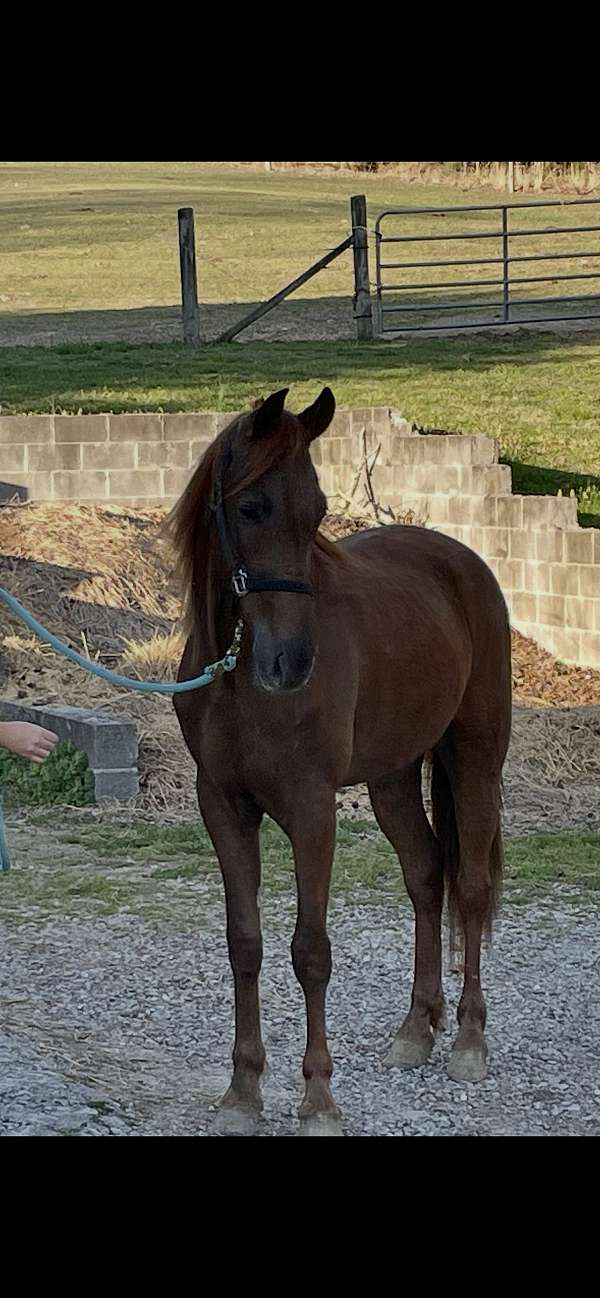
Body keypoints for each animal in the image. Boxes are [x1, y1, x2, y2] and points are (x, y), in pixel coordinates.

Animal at [170, 386, 512, 1135]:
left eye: (319, 509)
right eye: (251, 507)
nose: (292, 662)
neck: (238, 676)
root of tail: (461, 560)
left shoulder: (311, 807)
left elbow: (311, 951)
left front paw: (319, 1097)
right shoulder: (223, 805)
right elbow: (245, 942)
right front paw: (243, 1089)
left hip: (475, 758)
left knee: (470, 888)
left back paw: (470, 1040)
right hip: (391, 778)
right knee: (426, 875)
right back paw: (416, 1029)